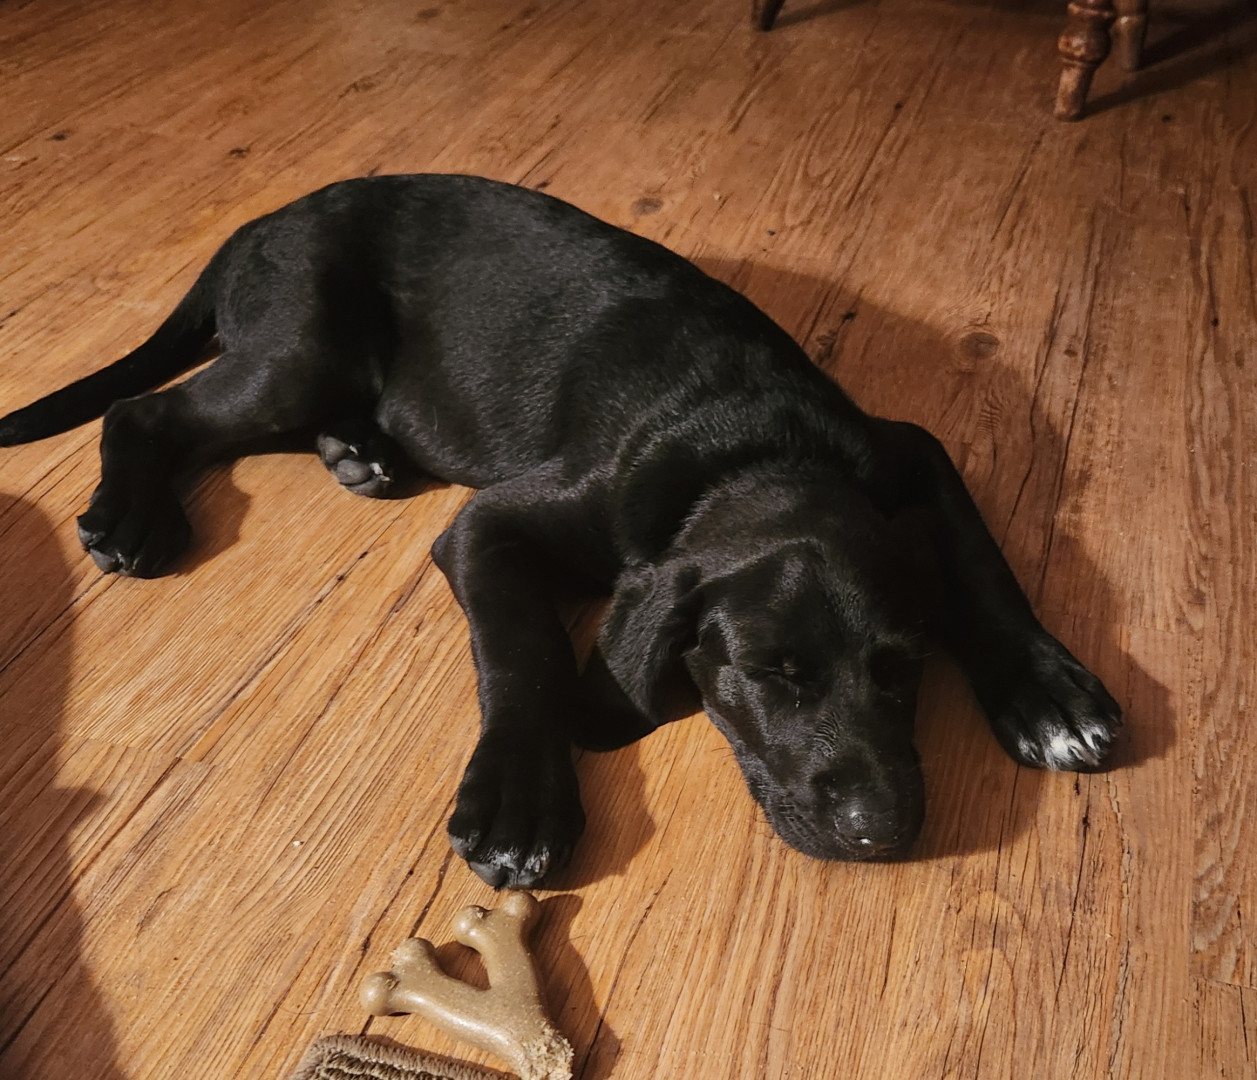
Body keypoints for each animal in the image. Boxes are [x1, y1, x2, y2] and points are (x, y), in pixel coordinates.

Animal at [0, 174, 1121, 888]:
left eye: (904, 668)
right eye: (771, 675)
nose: (883, 833)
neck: (755, 445)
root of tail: (267, 219)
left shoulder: (907, 449)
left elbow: (981, 558)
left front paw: (1050, 691)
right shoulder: (488, 525)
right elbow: (525, 648)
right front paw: (520, 804)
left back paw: (358, 451)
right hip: (302, 346)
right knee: (145, 413)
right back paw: (133, 514)